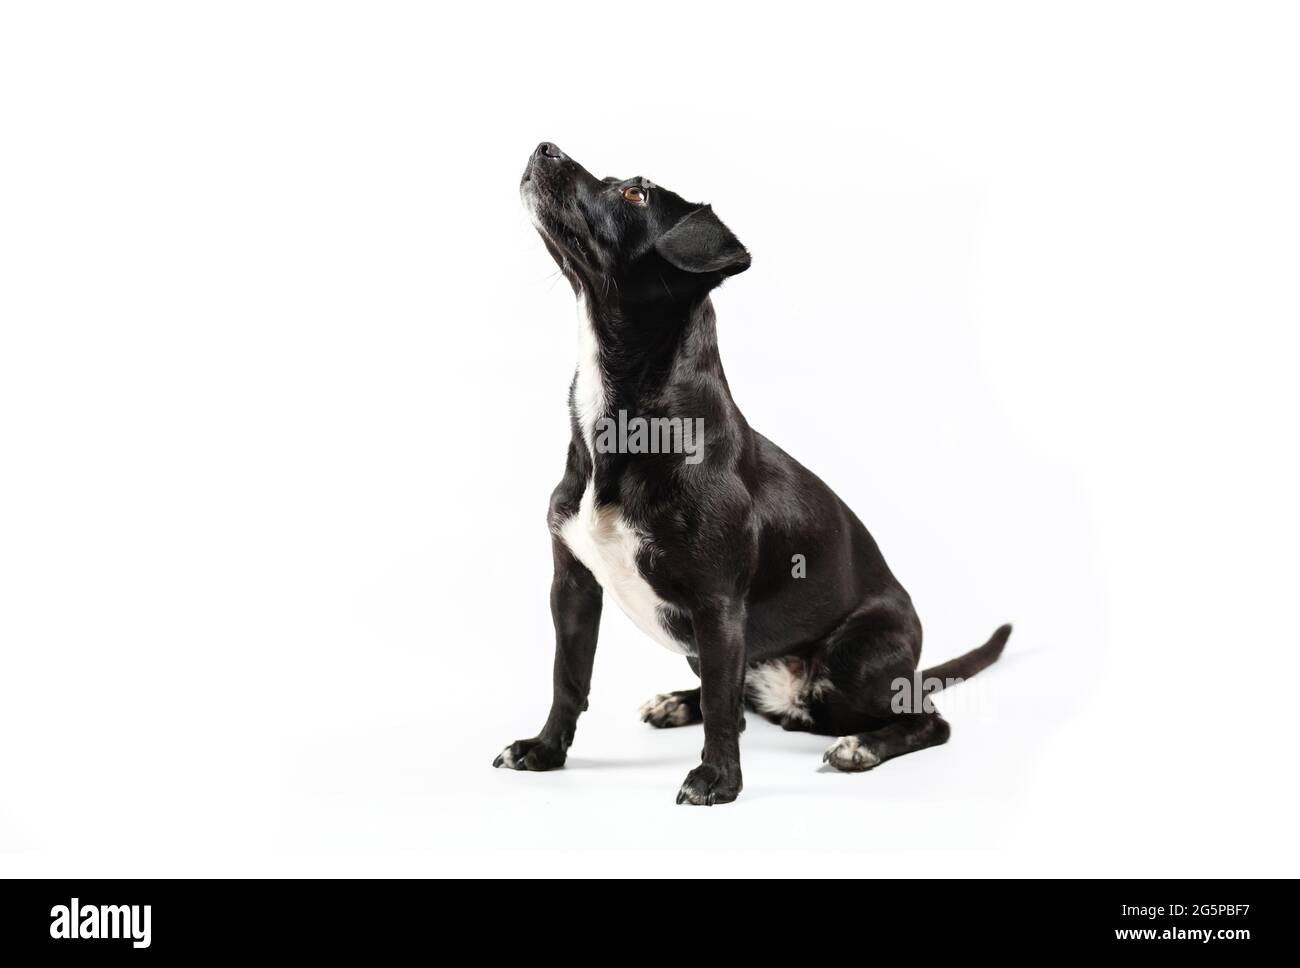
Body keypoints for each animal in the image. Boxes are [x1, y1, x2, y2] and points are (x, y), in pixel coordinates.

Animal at [491, 143, 1008, 805]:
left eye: (635, 194)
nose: (544, 147)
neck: (624, 420)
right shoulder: (573, 585)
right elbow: (568, 678)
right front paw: (544, 751)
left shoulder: (716, 603)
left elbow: (719, 705)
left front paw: (717, 779)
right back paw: (678, 701)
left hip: (855, 662)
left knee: (925, 720)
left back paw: (862, 747)